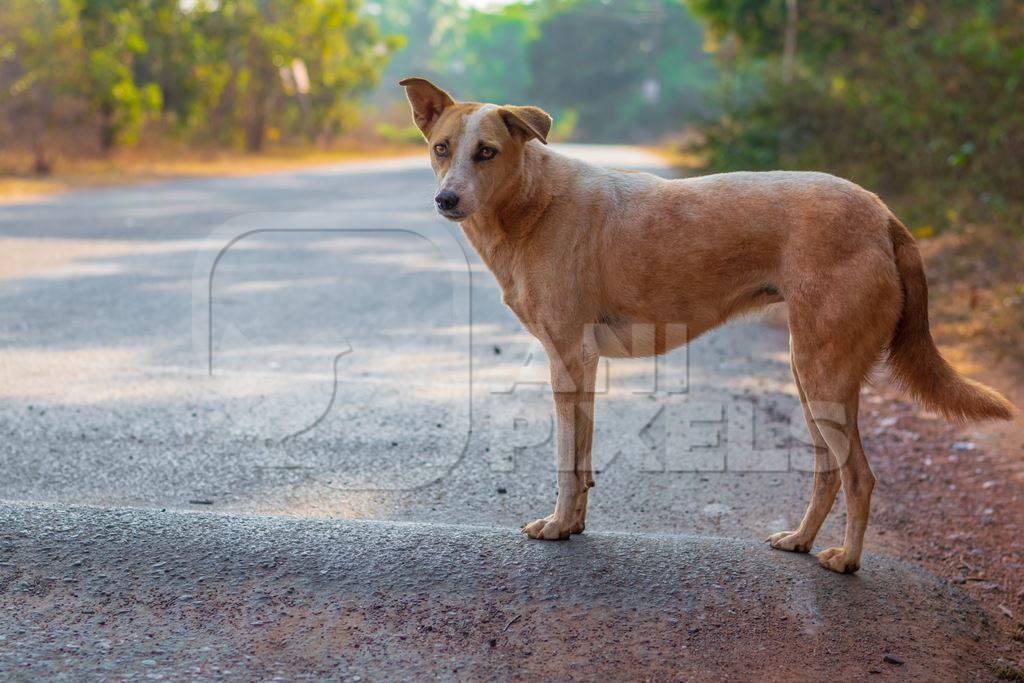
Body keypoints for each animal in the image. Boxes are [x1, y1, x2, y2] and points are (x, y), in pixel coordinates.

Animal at [395, 77, 1011, 573]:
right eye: (441, 149)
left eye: (487, 152)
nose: (445, 199)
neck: (530, 203)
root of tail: (883, 214)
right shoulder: (581, 366)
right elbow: (584, 460)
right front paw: (573, 526)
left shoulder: (568, 358)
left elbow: (568, 463)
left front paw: (556, 526)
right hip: (811, 374)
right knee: (829, 471)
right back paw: (801, 541)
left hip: (823, 374)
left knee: (860, 476)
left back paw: (846, 561)